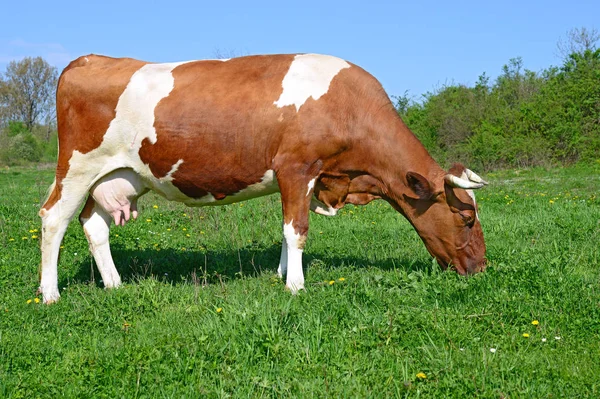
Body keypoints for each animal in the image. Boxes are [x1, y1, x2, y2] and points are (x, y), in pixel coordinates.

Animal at [36, 52, 488, 304]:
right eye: (466, 218)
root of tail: (90, 58)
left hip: (119, 176)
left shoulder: (302, 179)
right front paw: (297, 287)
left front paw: (282, 275)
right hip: (77, 168)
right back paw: (50, 294)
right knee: (54, 219)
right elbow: (297, 229)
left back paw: (114, 285)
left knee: (93, 225)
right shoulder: (297, 167)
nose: (482, 269)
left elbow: (286, 230)